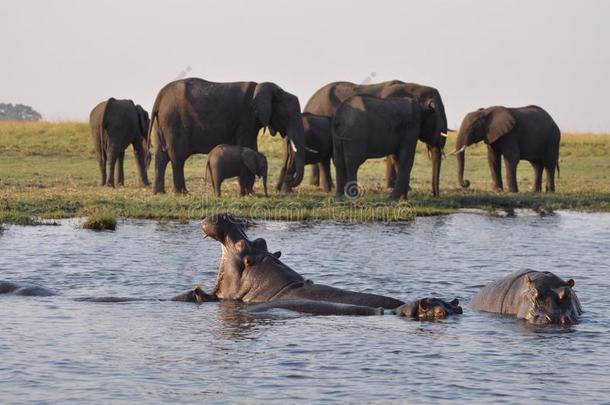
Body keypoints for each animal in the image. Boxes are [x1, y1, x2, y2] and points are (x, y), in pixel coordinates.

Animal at [150, 78, 306, 194]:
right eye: (288, 115)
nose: (289, 180)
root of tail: (159, 97)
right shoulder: (246, 118)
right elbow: (249, 145)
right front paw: (250, 193)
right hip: (173, 122)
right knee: (177, 158)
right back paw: (181, 193)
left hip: (161, 123)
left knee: (161, 157)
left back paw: (160, 193)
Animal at [302, 80, 446, 196]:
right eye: (438, 117)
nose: (435, 195)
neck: (416, 88)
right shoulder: (405, 125)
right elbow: (400, 156)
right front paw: (397, 193)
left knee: (333, 160)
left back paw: (330, 191)